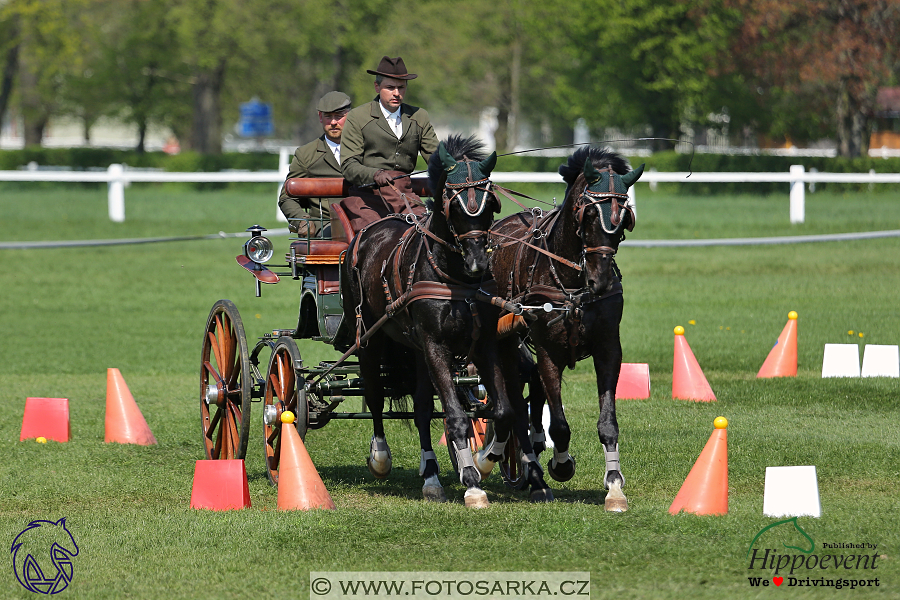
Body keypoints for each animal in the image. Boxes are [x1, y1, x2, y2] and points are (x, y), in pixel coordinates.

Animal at [342, 135, 512, 506]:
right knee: (374, 394)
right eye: (453, 205)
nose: (478, 263)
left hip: (417, 349)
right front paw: (472, 482)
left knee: (420, 408)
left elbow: (502, 410)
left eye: (491, 206)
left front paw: (484, 460)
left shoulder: (484, 344)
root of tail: (366, 234)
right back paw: (380, 457)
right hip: (369, 337)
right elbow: (457, 417)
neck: (457, 279)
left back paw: (431, 476)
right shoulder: (436, 346)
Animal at [488, 146, 644, 510]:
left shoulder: (608, 349)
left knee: (529, 397)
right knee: (511, 408)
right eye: (588, 215)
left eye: (623, 219)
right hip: (504, 341)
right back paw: (522, 469)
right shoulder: (548, 350)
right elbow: (558, 425)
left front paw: (614, 484)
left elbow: (608, 423)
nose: (600, 282)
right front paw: (561, 465)